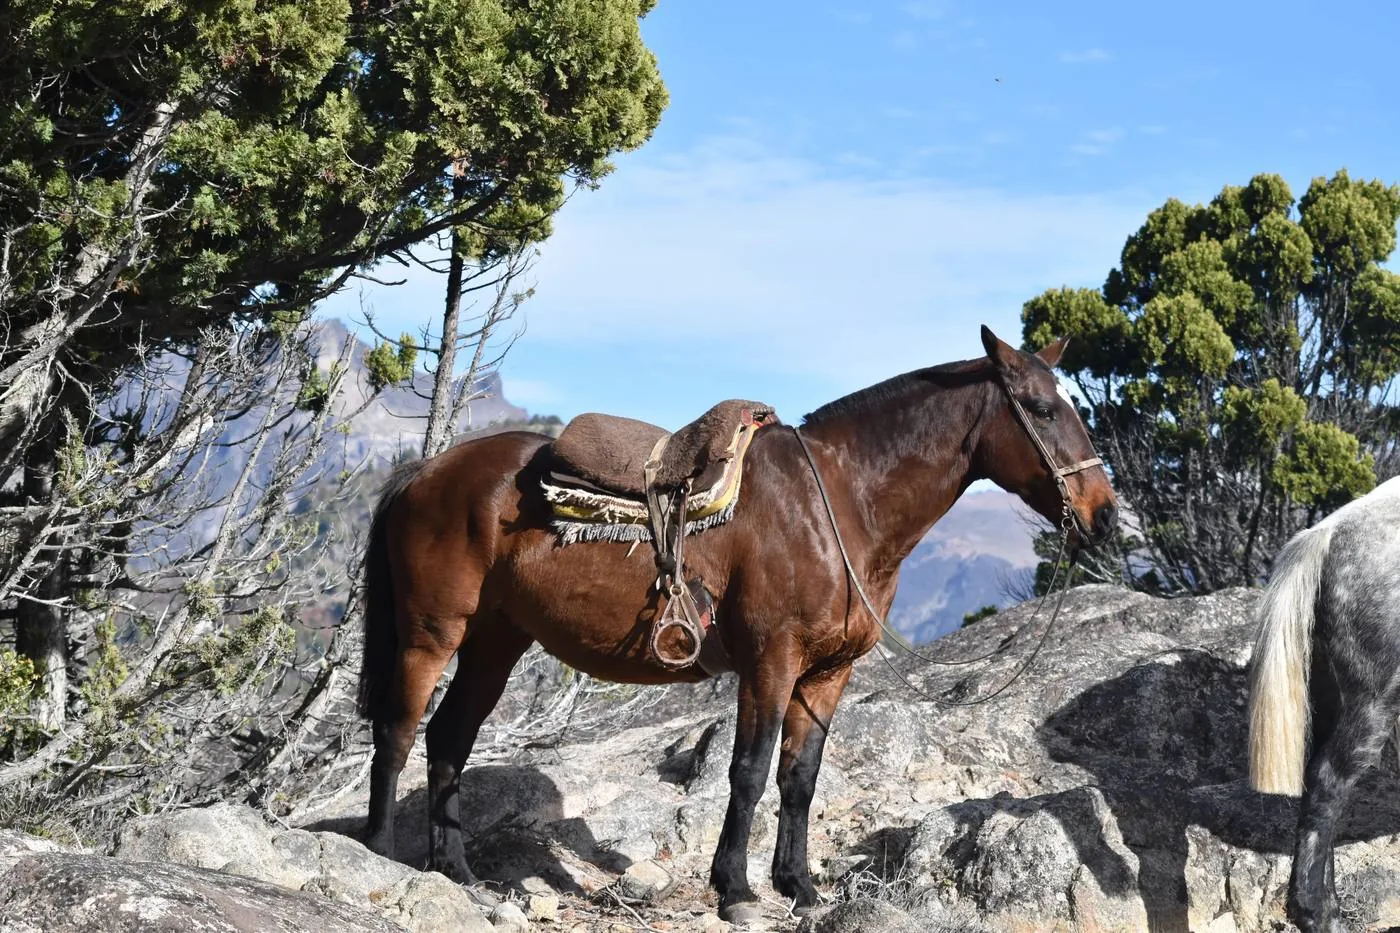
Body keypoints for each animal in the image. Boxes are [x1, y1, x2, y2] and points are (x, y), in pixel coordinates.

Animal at [356, 325, 1120, 922]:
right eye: (1041, 407)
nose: (1105, 514)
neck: (839, 502)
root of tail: (426, 471)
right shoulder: (770, 661)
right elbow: (750, 771)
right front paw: (736, 889)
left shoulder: (827, 673)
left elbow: (800, 777)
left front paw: (799, 885)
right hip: (432, 634)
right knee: (398, 730)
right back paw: (380, 852)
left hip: (495, 641)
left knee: (450, 739)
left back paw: (457, 870)